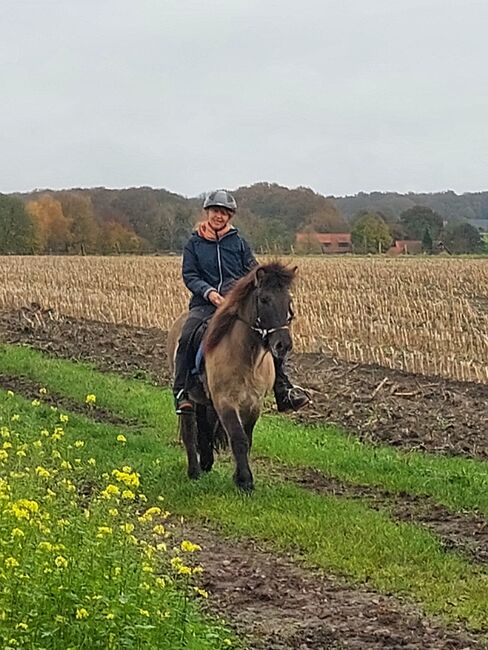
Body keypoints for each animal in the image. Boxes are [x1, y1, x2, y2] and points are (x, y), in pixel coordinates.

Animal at [167, 262, 298, 492]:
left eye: (288, 301)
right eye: (264, 299)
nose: (283, 345)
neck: (246, 358)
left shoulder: (253, 403)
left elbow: (247, 438)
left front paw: (239, 477)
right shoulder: (225, 401)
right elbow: (238, 438)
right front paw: (245, 481)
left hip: (205, 400)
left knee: (204, 427)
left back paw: (206, 462)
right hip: (189, 396)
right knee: (189, 428)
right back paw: (194, 471)